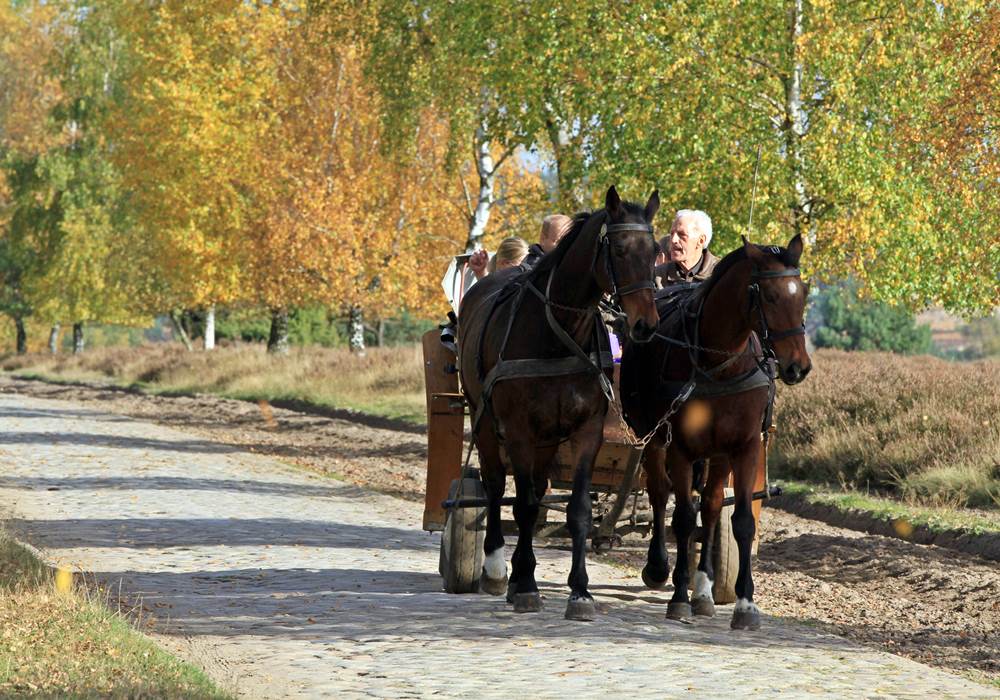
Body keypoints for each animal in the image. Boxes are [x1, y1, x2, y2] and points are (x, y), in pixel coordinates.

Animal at [460, 185, 664, 616]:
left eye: (655, 249)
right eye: (620, 249)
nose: (645, 324)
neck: (557, 333)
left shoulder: (586, 432)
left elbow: (578, 510)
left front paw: (580, 590)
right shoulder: (517, 429)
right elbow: (522, 505)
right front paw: (524, 583)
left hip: (547, 439)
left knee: (537, 488)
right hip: (484, 418)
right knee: (495, 486)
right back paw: (496, 566)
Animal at [624, 234, 812, 628]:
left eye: (802, 292)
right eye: (769, 296)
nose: (798, 367)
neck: (720, 363)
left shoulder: (743, 446)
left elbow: (740, 520)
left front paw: (743, 603)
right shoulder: (678, 447)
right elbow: (681, 517)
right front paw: (679, 596)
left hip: (717, 454)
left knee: (709, 506)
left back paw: (703, 587)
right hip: (652, 439)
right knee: (660, 494)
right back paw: (660, 567)